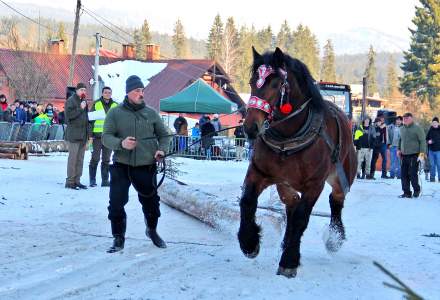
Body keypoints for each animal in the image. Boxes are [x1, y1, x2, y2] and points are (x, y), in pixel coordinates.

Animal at [237, 47, 358, 278]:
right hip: (285, 184)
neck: (288, 137)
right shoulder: (259, 172)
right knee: (291, 206)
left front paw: (289, 261)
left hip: (342, 175)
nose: (250, 127)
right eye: (252, 81)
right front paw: (249, 243)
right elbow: (247, 201)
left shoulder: (314, 184)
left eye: (276, 84)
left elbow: (302, 217)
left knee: (336, 200)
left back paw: (334, 238)